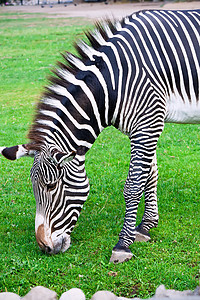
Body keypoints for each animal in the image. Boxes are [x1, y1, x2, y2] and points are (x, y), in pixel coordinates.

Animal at [0, 9, 200, 262]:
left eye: (51, 186)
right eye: (34, 188)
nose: (44, 247)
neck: (113, 82)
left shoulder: (148, 123)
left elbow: (134, 184)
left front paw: (123, 244)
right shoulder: (146, 124)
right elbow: (150, 174)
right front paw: (146, 226)